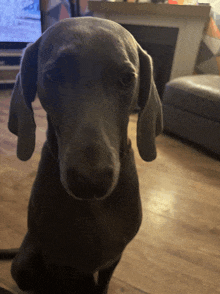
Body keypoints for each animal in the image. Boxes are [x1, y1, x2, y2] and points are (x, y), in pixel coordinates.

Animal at [7, 16, 162, 294]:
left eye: (127, 79)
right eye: (53, 75)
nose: (90, 181)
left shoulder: (113, 258)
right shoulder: (54, 259)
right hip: (23, 264)